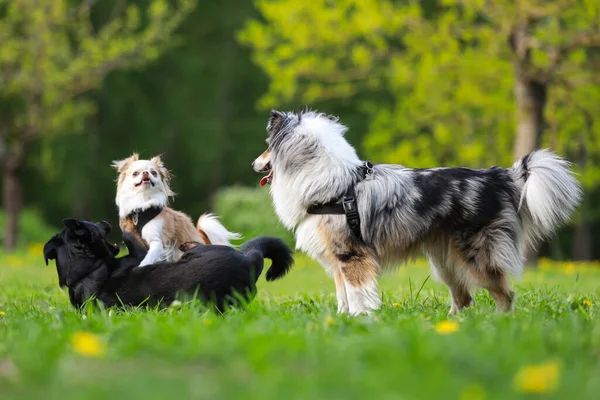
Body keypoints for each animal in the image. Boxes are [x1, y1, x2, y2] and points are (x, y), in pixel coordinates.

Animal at [43, 219, 294, 310]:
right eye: (94, 224)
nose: (105, 221)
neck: (85, 272)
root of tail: (249, 260)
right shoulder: (139, 253)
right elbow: (131, 236)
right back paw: (188, 244)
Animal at [253, 109, 580, 316]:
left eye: (267, 147)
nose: (254, 164)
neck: (332, 183)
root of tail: (498, 176)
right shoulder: (337, 262)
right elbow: (342, 296)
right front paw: (341, 321)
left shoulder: (352, 256)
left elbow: (357, 294)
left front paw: (360, 320)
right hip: (445, 261)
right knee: (464, 298)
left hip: (476, 256)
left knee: (504, 294)